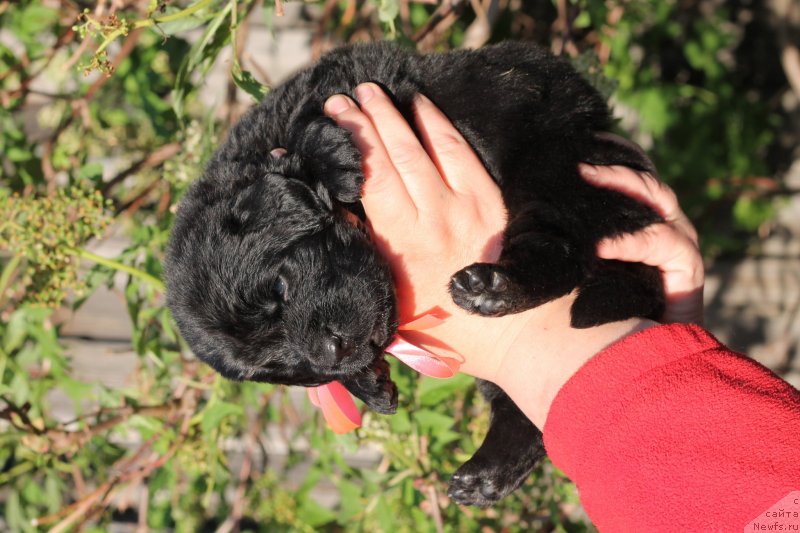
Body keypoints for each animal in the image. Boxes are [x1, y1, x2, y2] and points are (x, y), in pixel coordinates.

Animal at [162, 40, 664, 502]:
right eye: (281, 366)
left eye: (280, 290)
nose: (334, 352)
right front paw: (367, 382)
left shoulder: (371, 89)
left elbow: (316, 119)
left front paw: (330, 156)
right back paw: (484, 476)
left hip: (556, 167)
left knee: (563, 243)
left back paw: (494, 288)